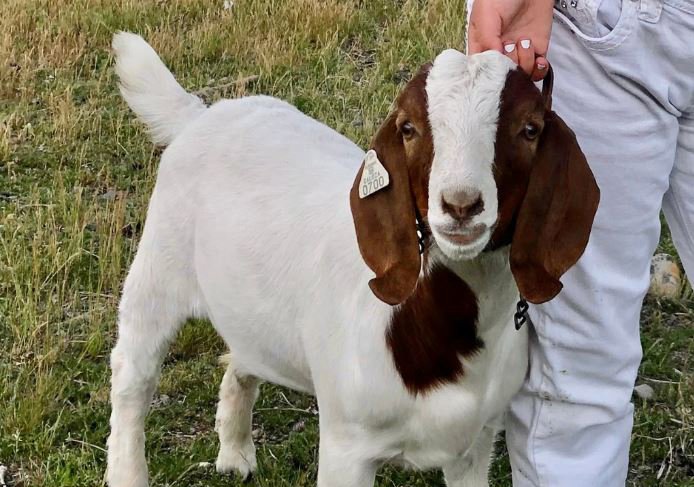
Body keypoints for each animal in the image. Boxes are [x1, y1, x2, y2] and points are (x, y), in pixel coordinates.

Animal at [107, 32, 599, 487]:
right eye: (408, 128)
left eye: (530, 129)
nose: (461, 205)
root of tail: (201, 115)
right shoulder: (348, 446)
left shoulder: (476, 444)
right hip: (158, 268)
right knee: (133, 374)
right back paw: (130, 471)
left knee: (241, 357)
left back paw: (235, 454)